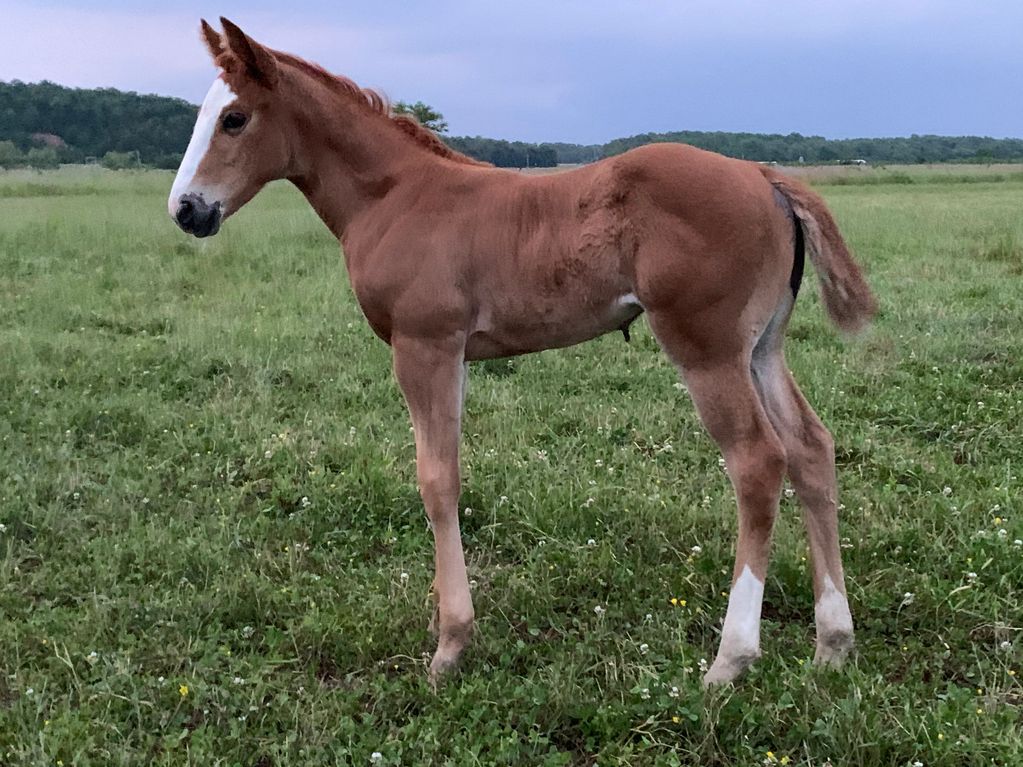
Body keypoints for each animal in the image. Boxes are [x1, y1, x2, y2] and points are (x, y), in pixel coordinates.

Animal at [168, 18, 876, 686]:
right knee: (811, 448)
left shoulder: (424, 346)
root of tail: (765, 176)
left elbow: (436, 481)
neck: (394, 196)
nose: (186, 210)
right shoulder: (454, 354)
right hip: (762, 348)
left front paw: (451, 644)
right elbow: (449, 473)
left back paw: (731, 657)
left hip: (707, 349)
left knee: (758, 462)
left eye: (234, 118)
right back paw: (833, 644)